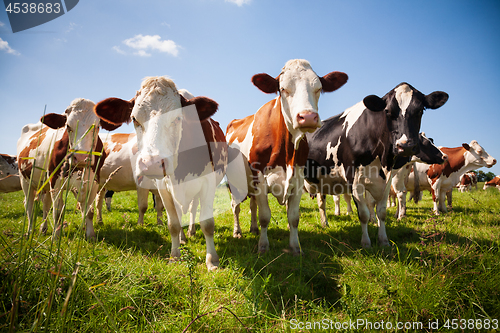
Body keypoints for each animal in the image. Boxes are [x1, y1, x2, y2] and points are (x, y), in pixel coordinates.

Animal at [16, 97, 106, 237]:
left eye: (97, 127)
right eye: (68, 126)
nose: (81, 157)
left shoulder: (94, 181)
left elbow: (89, 211)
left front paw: (90, 235)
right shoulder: (55, 181)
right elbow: (58, 212)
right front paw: (56, 236)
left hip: (45, 184)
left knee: (45, 204)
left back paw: (43, 229)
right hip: (25, 180)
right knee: (29, 204)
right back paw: (30, 231)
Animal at [94, 76, 227, 270]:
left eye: (178, 118)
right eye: (134, 118)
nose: (152, 164)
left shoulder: (208, 183)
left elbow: (207, 223)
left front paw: (212, 260)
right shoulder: (163, 187)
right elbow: (173, 224)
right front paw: (175, 255)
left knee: (192, 210)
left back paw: (190, 232)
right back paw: (183, 238)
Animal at [227, 58, 348, 253]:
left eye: (318, 88)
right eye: (283, 89)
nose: (308, 117)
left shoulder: (297, 180)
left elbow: (293, 217)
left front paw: (295, 248)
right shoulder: (260, 179)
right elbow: (265, 216)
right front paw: (263, 246)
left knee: (252, 205)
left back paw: (253, 228)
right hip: (234, 183)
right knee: (236, 207)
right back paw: (237, 231)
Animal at [304, 82, 450, 246]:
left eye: (420, 110)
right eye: (387, 111)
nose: (405, 146)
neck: (382, 158)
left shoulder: (386, 180)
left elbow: (381, 211)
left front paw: (383, 240)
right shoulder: (355, 181)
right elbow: (363, 213)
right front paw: (366, 242)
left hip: (320, 180)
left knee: (321, 202)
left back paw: (325, 223)